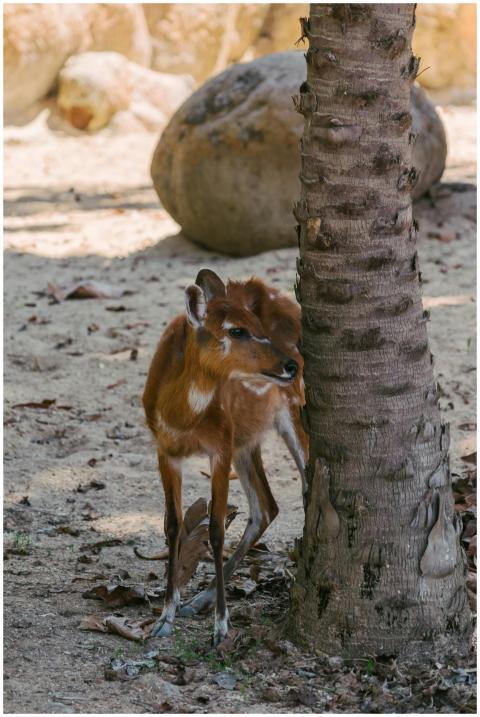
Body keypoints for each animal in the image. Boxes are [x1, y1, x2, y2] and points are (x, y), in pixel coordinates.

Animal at [142, 269, 308, 645]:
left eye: (258, 325)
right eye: (237, 330)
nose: (291, 364)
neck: (181, 417)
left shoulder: (220, 447)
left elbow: (217, 528)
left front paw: (220, 627)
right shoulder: (165, 451)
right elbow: (172, 524)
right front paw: (165, 617)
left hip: (294, 413)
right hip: (247, 440)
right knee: (267, 506)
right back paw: (196, 601)